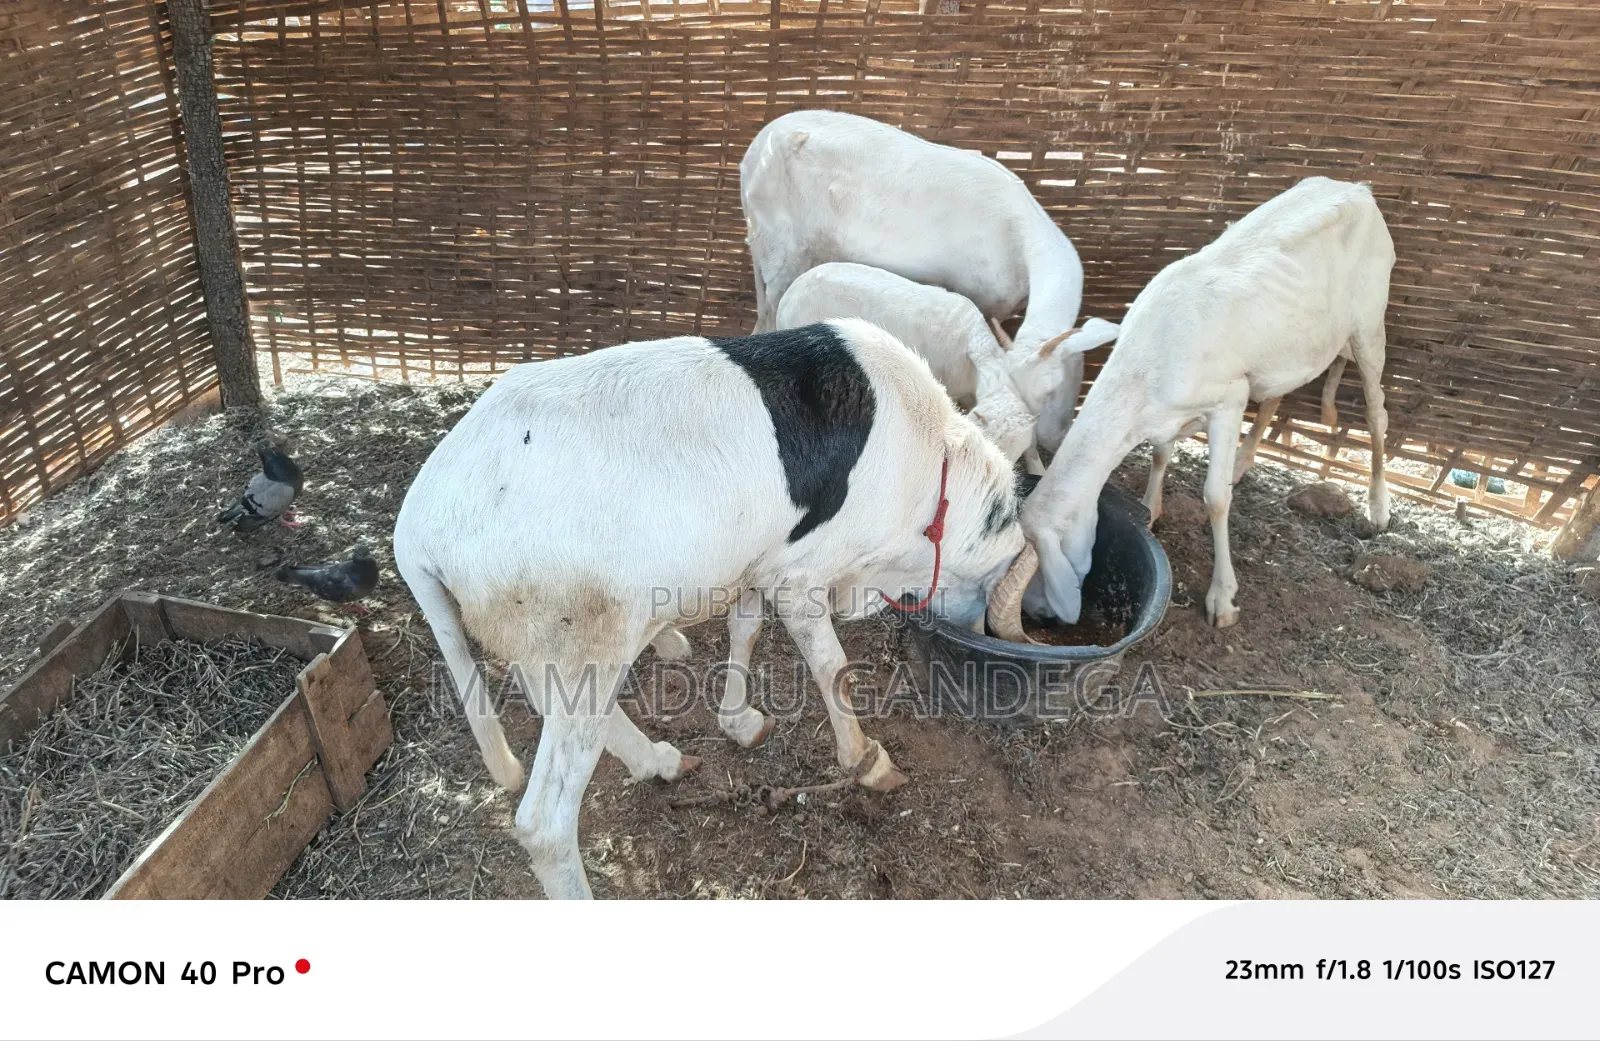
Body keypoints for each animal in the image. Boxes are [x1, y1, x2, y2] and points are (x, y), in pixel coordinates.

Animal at [393, 319, 1038, 898]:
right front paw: (867, 762)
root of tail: (416, 529)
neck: (936, 470)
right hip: (587, 633)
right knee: (545, 824)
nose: (974, 626)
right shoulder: (802, 577)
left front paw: (740, 722)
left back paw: (658, 760)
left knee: (545, 690)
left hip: (552, 637)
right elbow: (833, 668)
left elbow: (745, 628)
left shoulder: (762, 561)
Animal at [741, 109, 1119, 451]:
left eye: (1060, 386)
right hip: (782, 249)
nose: (1052, 441)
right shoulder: (980, 297)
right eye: (1046, 390)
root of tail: (754, 153)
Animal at [1014, 176, 1395, 631]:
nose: (1037, 614)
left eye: (1037, 566)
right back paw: (1244, 463)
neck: (1144, 368)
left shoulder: (1228, 399)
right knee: (1276, 396)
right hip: (1286, 351)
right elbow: (1161, 454)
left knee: (1376, 412)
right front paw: (1150, 509)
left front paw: (1222, 600)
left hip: (1369, 324)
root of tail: (1358, 188)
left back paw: (1378, 506)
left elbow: (1215, 498)